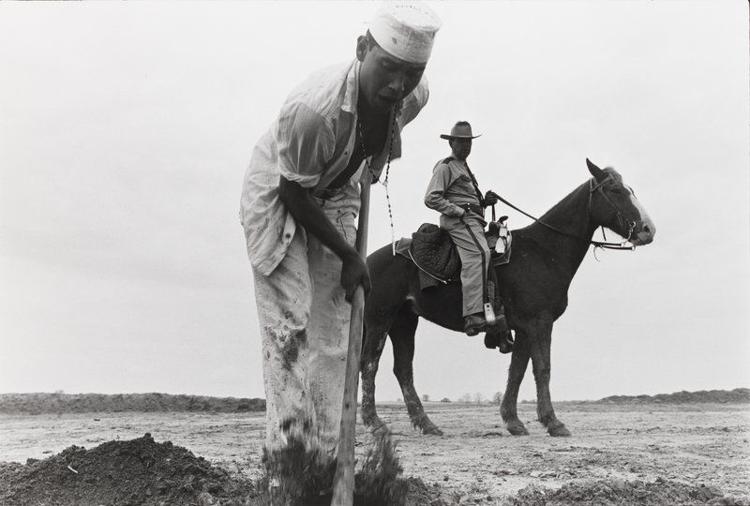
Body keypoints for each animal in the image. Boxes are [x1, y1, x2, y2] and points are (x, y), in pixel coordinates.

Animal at [362, 160, 656, 436]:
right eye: (615, 190)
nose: (648, 229)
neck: (543, 251)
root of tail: (366, 261)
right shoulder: (540, 323)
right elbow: (542, 369)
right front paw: (553, 422)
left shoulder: (524, 328)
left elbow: (517, 371)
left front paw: (513, 421)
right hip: (379, 319)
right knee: (369, 365)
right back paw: (375, 423)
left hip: (403, 322)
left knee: (403, 370)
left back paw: (426, 424)